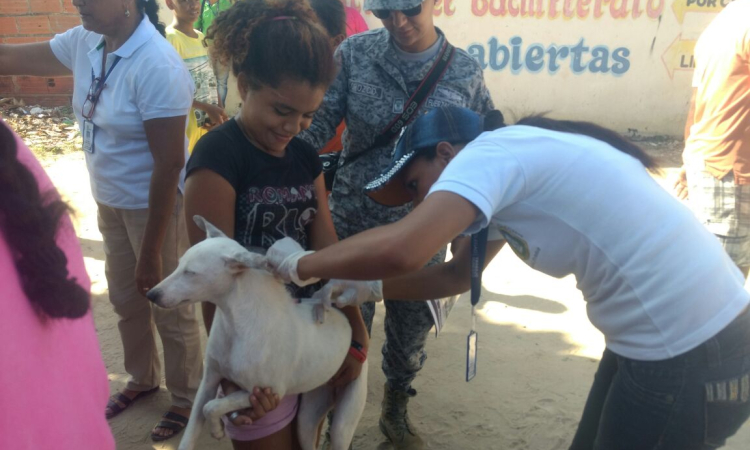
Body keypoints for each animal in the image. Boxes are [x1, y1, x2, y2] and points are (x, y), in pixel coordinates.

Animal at [146, 216, 368, 450]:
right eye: (179, 264)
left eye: (191, 273)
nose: (151, 294)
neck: (236, 326)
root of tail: (340, 314)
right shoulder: (209, 380)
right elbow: (197, 421)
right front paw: (216, 428)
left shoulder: (272, 392)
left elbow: (212, 406)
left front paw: (216, 429)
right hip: (307, 417)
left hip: (342, 426)